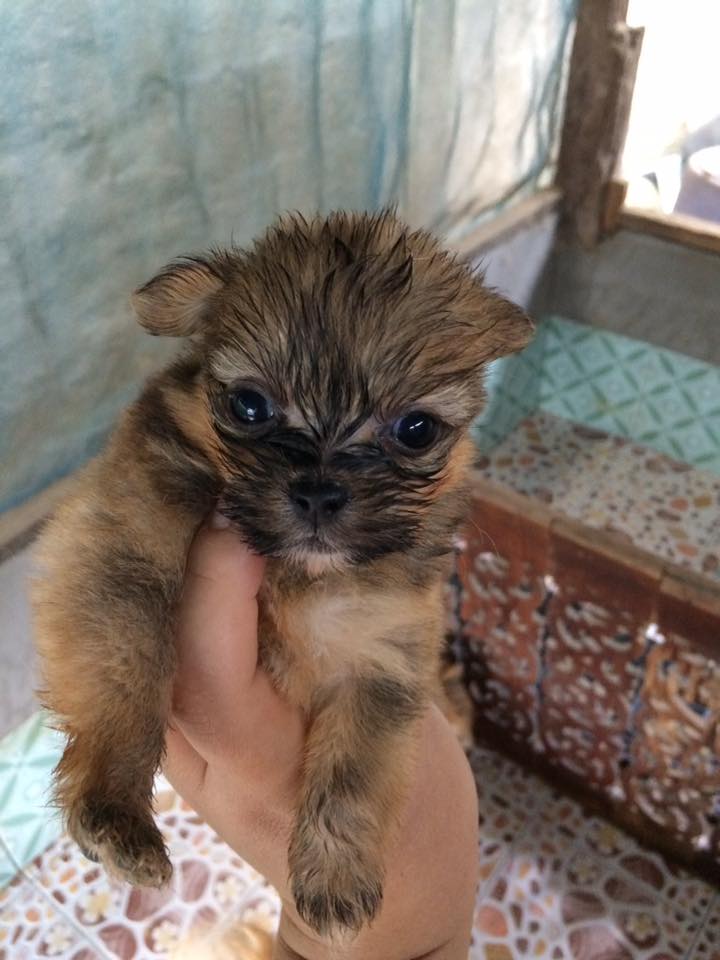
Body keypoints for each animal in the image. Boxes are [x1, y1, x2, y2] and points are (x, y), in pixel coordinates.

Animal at [32, 210, 532, 938]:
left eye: (415, 429)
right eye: (249, 406)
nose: (320, 491)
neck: (295, 573)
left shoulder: (379, 660)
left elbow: (353, 774)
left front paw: (335, 882)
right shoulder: (124, 555)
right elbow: (131, 677)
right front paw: (115, 813)